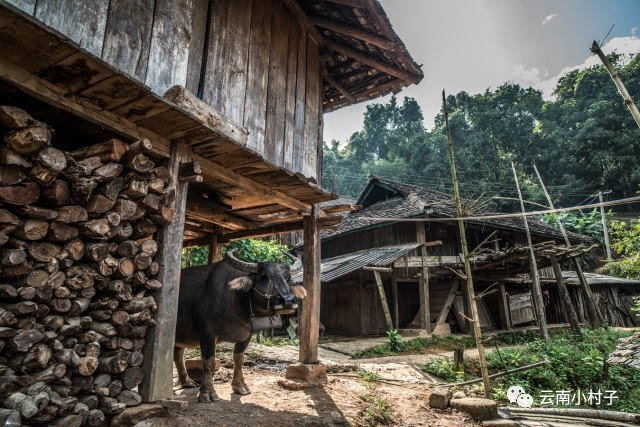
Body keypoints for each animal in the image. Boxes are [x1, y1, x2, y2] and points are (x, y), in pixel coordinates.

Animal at [174, 249, 306, 402]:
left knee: (178, 354)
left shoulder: (247, 335)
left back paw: (187, 382)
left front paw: (240, 386)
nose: (287, 300)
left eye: (288, 278)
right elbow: (209, 363)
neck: (236, 301)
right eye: (264, 277)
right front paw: (207, 393)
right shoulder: (207, 334)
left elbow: (239, 359)